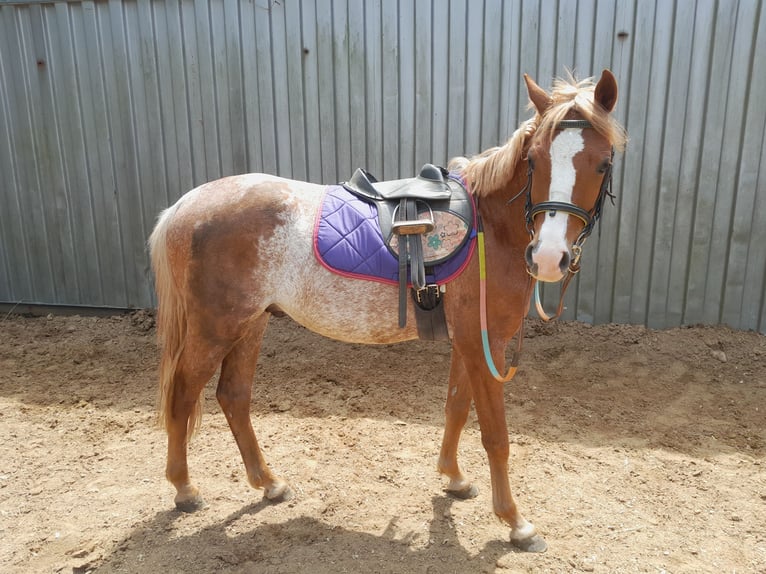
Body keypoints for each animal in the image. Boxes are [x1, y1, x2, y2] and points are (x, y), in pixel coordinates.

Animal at [148, 70, 627, 552]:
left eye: (603, 163)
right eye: (534, 160)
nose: (548, 257)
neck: (490, 229)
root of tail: (184, 207)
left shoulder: (468, 343)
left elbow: (456, 407)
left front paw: (453, 479)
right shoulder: (484, 344)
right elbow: (496, 436)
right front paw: (515, 522)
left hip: (251, 324)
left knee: (233, 396)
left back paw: (269, 483)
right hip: (216, 328)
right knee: (183, 392)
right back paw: (185, 488)